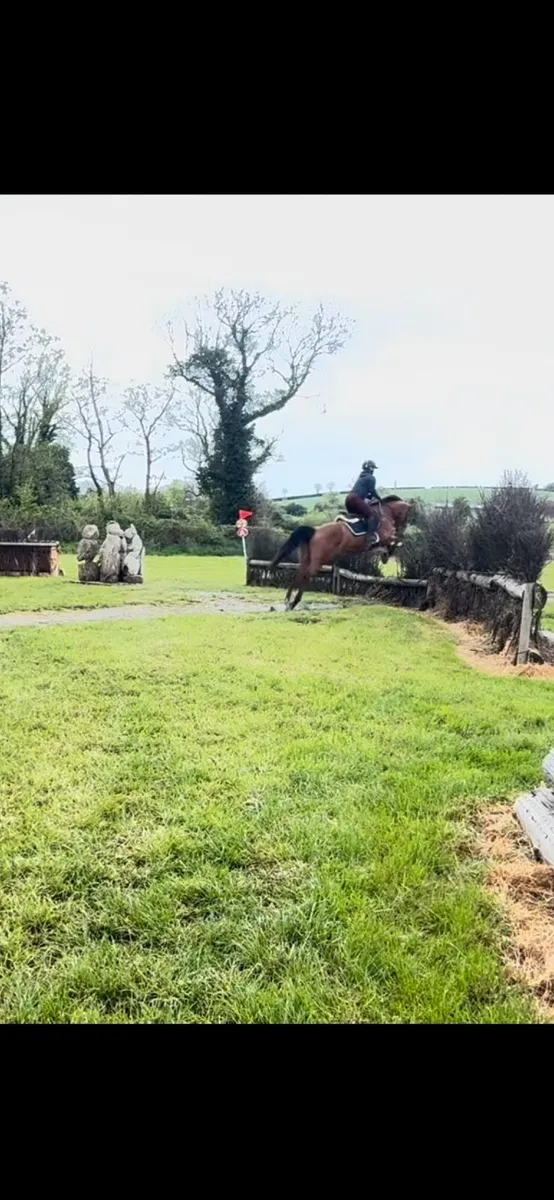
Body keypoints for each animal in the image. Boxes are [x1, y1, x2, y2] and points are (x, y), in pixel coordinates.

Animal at [270, 497, 416, 611]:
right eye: (407, 516)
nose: (403, 529)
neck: (385, 514)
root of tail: (315, 531)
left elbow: (391, 543)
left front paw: (385, 554)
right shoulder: (386, 537)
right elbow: (395, 541)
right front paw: (387, 553)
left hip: (307, 557)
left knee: (300, 572)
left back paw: (288, 601)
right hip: (320, 559)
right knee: (307, 574)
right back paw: (294, 602)